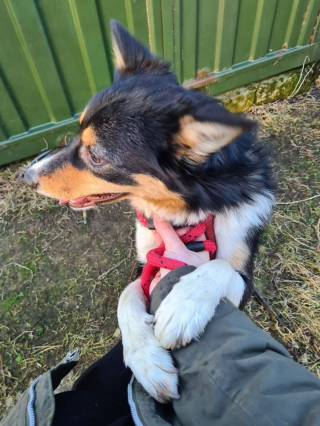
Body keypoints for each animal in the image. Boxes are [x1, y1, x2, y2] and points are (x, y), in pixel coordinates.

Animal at [25, 21, 274, 402]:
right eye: (77, 132)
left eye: (95, 156)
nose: (27, 177)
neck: (188, 213)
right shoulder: (146, 261)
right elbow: (127, 295)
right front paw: (146, 361)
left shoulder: (242, 278)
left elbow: (219, 268)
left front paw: (184, 305)